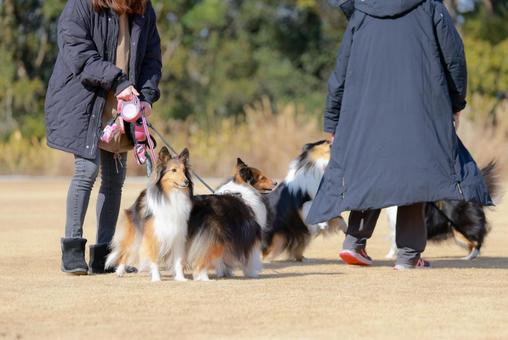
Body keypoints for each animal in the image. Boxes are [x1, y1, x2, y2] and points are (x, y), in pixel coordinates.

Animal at [105, 146, 192, 282]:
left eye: (184, 171)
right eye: (173, 170)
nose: (186, 182)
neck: (171, 195)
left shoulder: (178, 235)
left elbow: (178, 260)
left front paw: (180, 278)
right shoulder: (152, 235)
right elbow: (153, 258)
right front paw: (156, 278)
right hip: (135, 236)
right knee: (125, 252)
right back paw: (120, 271)